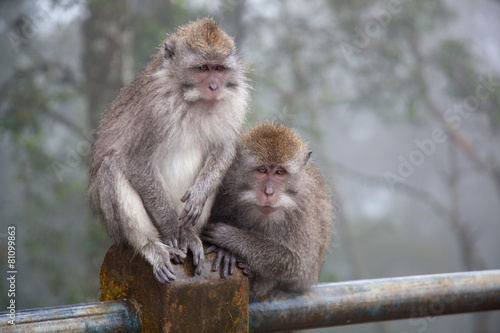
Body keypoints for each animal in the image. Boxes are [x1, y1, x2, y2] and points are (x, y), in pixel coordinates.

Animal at [89, 18, 250, 282]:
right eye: (202, 68)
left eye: (219, 68)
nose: (214, 86)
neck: (191, 98)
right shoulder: (154, 109)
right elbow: (136, 160)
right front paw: (169, 227)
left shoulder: (234, 102)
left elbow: (224, 150)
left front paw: (199, 194)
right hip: (113, 223)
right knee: (111, 167)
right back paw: (153, 245)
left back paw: (189, 236)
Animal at [201, 122, 334, 298]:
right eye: (262, 170)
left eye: (280, 172)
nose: (269, 193)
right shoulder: (226, 185)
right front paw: (226, 249)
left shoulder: (303, 210)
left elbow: (298, 263)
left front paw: (232, 238)